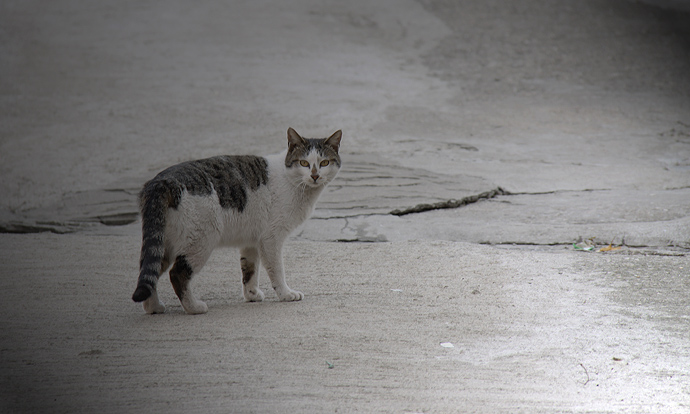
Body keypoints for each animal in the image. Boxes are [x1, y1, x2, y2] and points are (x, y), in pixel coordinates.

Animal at [130, 129, 340, 314]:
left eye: (324, 162)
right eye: (304, 163)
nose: (315, 175)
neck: (293, 181)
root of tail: (161, 182)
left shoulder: (251, 240)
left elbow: (250, 270)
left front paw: (251, 294)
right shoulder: (271, 238)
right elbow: (276, 270)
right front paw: (286, 294)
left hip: (163, 244)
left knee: (149, 271)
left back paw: (153, 308)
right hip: (201, 240)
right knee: (177, 274)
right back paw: (194, 308)